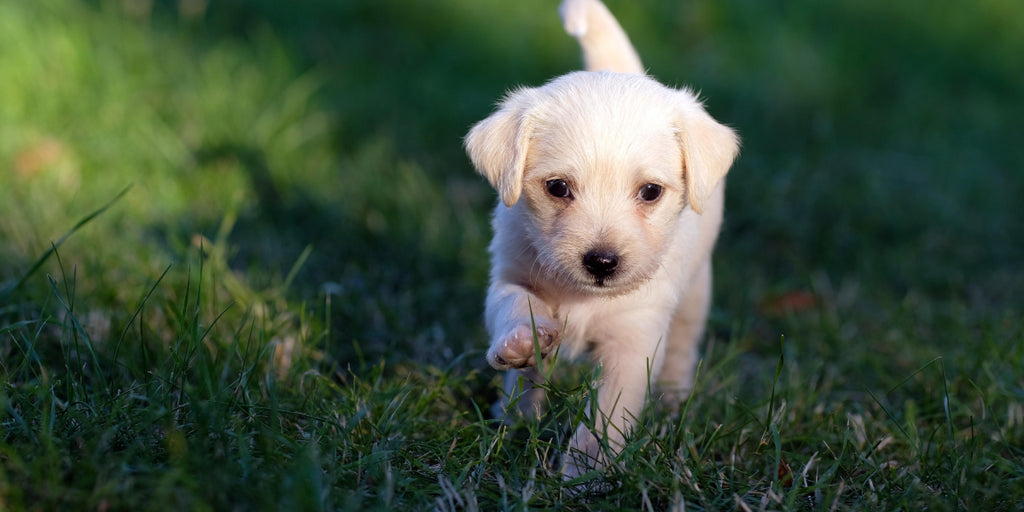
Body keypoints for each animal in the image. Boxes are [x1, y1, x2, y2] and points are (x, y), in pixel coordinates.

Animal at [462, 0, 737, 477]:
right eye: (557, 187)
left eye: (651, 192)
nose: (602, 262)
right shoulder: (510, 274)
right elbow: (515, 306)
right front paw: (521, 342)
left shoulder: (633, 341)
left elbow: (605, 418)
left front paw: (584, 475)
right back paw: (514, 415)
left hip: (696, 294)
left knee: (683, 347)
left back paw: (673, 399)